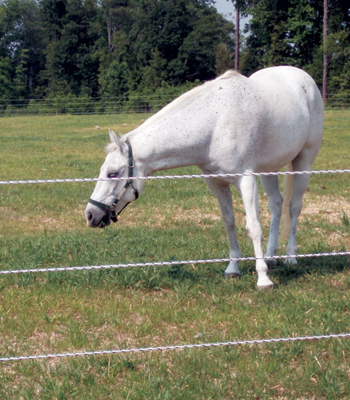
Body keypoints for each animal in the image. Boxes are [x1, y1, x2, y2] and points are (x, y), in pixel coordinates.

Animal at [85, 67, 322, 290]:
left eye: (113, 173)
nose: (90, 214)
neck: (215, 124)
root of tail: (303, 78)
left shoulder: (246, 180)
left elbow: (253, 227)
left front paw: (263, 279)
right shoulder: (216, 183)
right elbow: (229, 223)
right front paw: (233, 268)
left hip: (304, 163)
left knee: (293, 207)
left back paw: (290, 257)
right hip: (268, 170)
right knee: (276, 205)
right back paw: (271, 257)